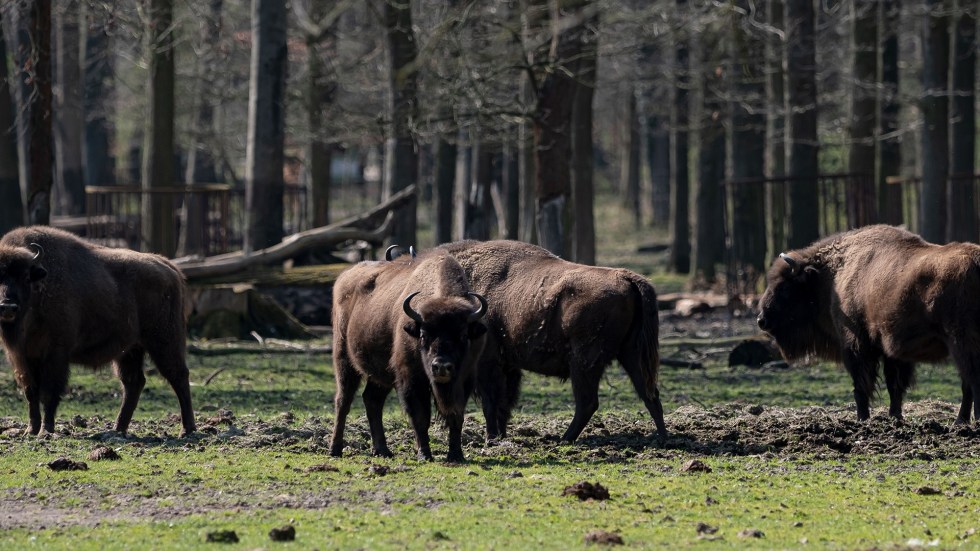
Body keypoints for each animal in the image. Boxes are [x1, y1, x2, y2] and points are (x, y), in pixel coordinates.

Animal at [0, 226, 197, 438]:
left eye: (25, 277)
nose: (7, 307)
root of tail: (169, 267)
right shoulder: (22, 357)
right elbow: (31, 392)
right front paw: (30, 430)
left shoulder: (55, 354)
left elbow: (49, 393)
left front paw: (45, 431)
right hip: (130, 350)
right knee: (133, 382)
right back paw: (118, 429)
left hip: (164, 342)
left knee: (178, 376)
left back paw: (187, 429)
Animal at [332, 252, 488, 464]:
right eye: (423, 335)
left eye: (463, 335)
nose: (441, 367)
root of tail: (345, 276)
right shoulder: (411, 379)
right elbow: (420, 417)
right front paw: (424, 454)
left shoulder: (464, 380)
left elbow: (456, 416)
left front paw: (456, 455)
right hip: (344, 360)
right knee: (343, 401)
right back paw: (335, 450)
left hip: (381, 375)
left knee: (372, 400)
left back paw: (382, 450)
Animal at [436, 242, 668, 444]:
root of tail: (626, 277)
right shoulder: (507, 366)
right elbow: (503, 402)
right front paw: (500, 436)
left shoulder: (489, 363)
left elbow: (491, 402)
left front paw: (491, 438)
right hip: (631, 354)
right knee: (650, 394)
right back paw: (662, 438)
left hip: (584, 361)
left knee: (588, 402)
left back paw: (563, 439)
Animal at [756, 224, 980, 422]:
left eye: (785, 287)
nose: (761, 320)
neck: (834, 273)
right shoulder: (892, 351)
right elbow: (894, 385)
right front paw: (895, 416)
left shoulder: (856, 343)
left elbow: (862, 385)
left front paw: (862, 418)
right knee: (967, 382)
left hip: (961, 344)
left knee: (970, 380)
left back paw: (964, 421)